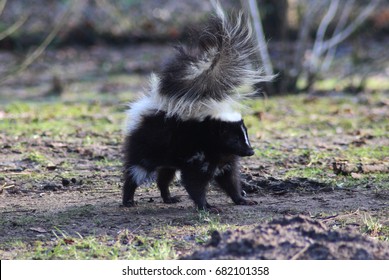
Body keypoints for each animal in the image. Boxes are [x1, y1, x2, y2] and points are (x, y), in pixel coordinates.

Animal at [123, 4, 272, 211]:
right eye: (234, 139)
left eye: (246, 136)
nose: (250, 151)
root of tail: (157, 104)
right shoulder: (197, 157)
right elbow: (195, 182)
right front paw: (206, 206)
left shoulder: (224, 161)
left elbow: (230, 181)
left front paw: (241, 199)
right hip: (148, 147)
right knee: (136, 171)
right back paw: (128, 199)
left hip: (169, 155)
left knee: (164, 176)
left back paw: (168, 197)